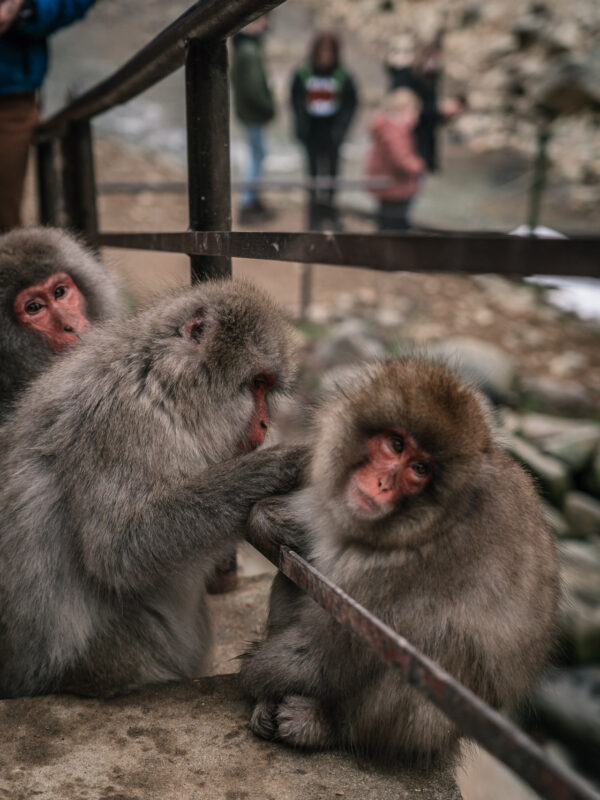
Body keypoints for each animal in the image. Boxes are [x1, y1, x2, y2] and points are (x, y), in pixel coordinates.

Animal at [0, 282, 302, 700]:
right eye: (257, 384)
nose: (263, 423)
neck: (162, 380)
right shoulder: (122, 420)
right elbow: (119, 547)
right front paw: (282, 465)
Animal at [241, 358, 560, 764]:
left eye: (420, 469)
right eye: (395, 444)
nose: (382, 484)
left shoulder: (406, 569)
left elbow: (334, 650)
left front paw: (254, 673)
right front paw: (271, 520)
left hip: (433, 728)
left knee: (439, 649)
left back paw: (327, 726)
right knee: (294, 578)